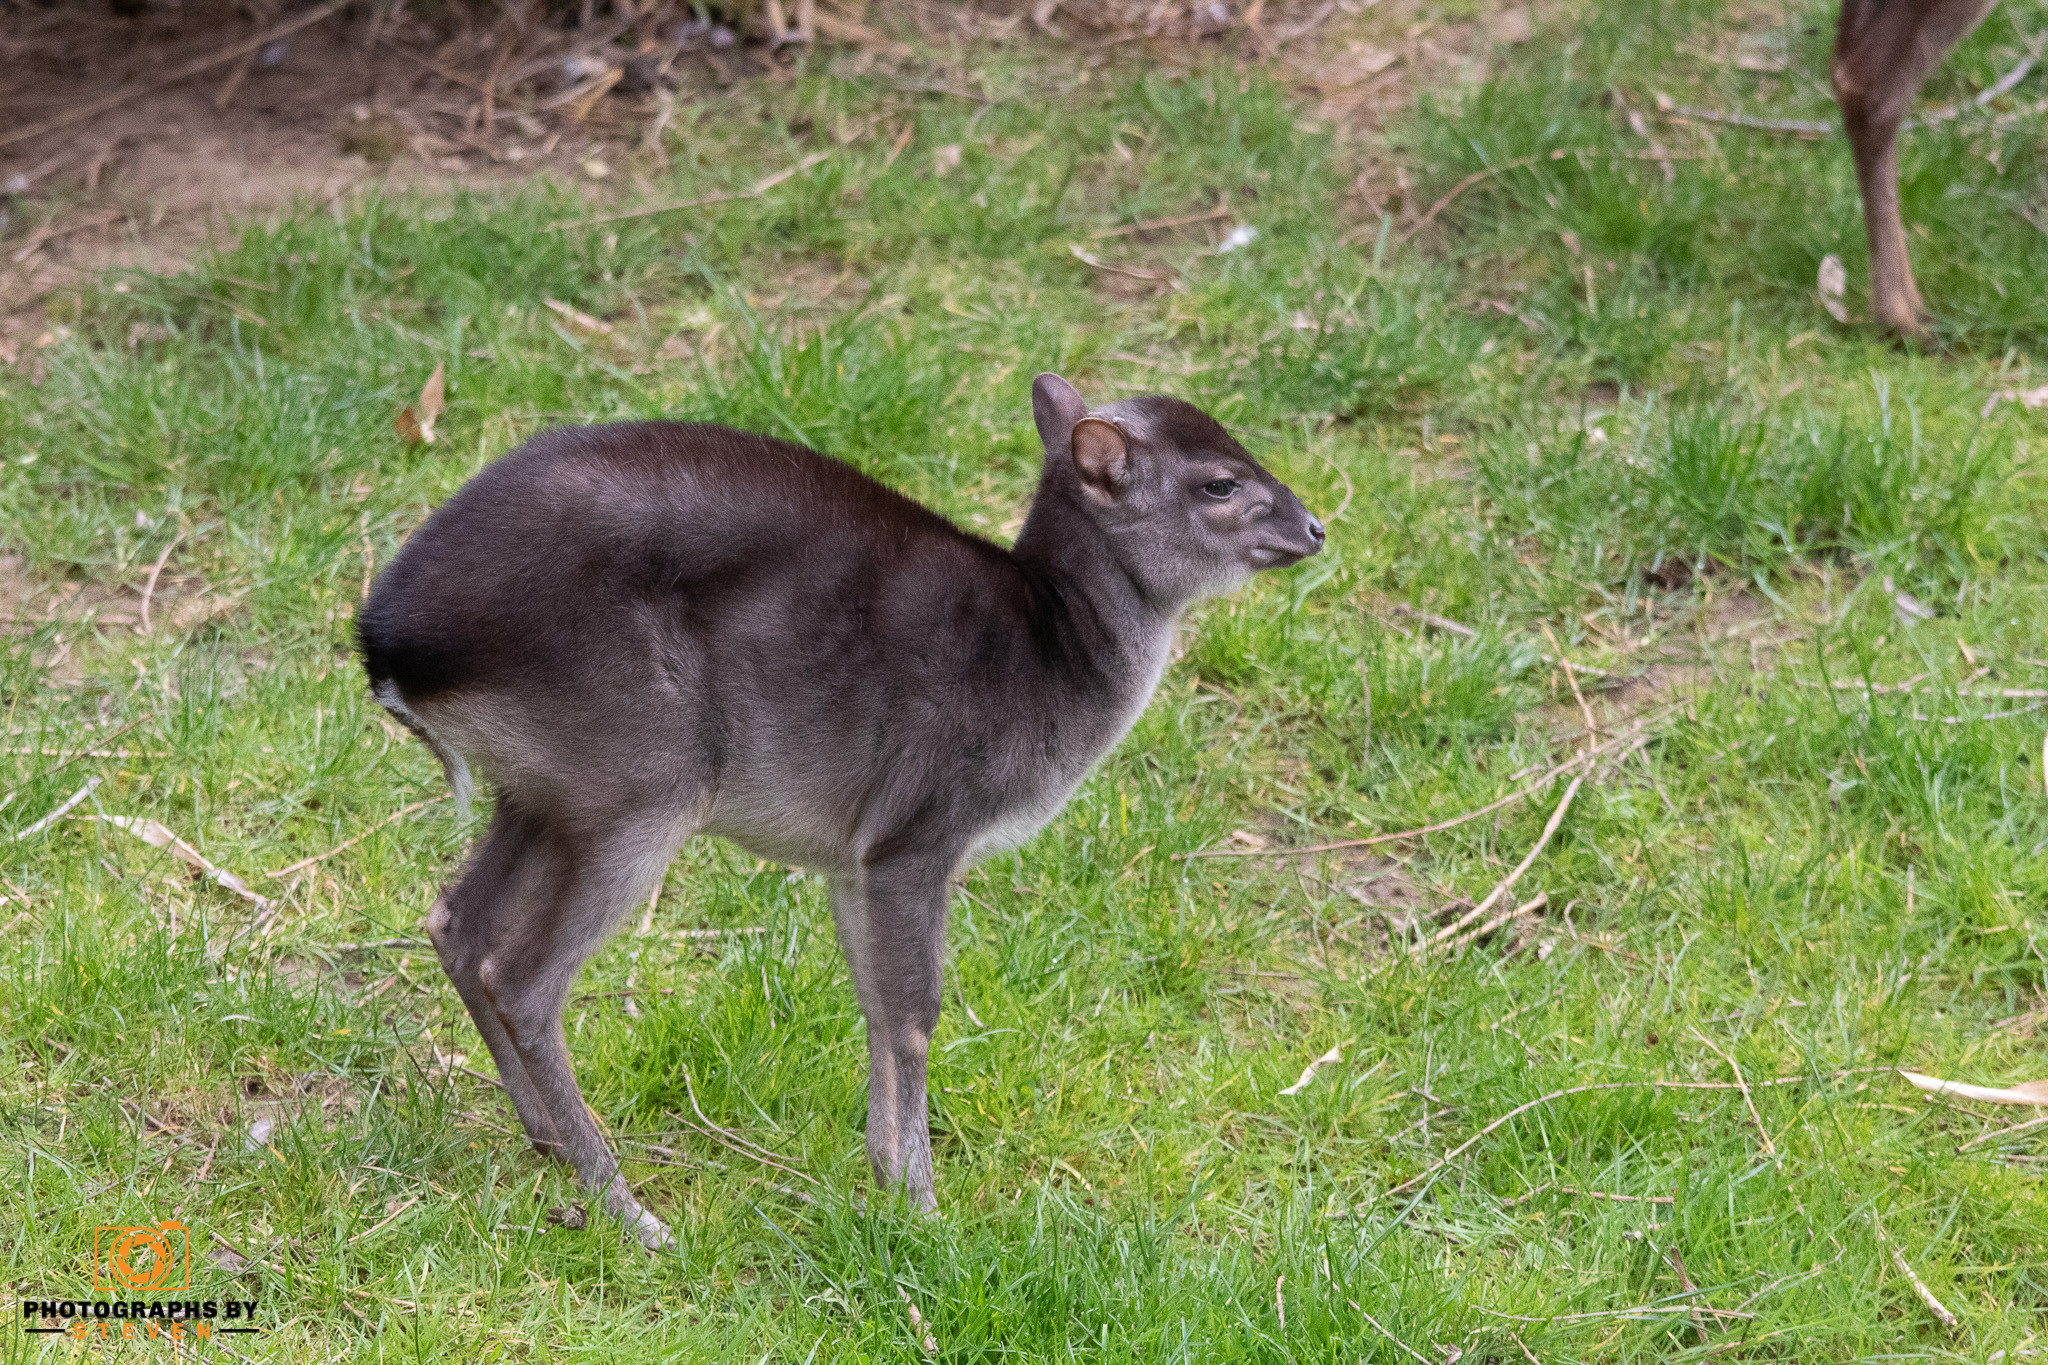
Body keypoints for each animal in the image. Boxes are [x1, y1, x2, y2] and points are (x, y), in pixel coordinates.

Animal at [357, 374, 1325, 1248]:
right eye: (1220, 482)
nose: (1315, 527)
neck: (1054, 654)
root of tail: (387, 646)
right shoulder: (921, 828)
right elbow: (915, 1011)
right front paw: (925, 1208)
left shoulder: (853, 856)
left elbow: (872, 1002)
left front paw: (887, 1178)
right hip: (640, 775)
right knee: (523, 972)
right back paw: (630, 1208)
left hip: (541, 788)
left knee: (457, 921)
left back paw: (553, 1143)